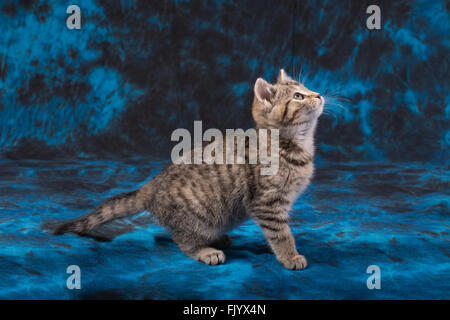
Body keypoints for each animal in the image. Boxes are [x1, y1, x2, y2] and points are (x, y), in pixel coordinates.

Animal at [55, 70, 324, 270]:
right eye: (298, 96)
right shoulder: (267, 203)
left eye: (306, 88)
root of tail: (152, 183)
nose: (319, 95)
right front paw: (290, 256)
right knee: (182, 240)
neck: (295, 146)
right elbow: (281, 233)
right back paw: (205, 250)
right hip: (195, 215)